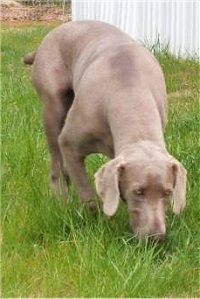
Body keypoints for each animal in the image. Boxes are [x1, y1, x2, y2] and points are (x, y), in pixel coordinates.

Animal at [24, 20, 187, 241]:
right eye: (138, 191)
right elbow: (87, 194)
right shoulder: (70, 143)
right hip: (53, 102)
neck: (129, 88)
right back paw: (62, 201)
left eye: (168, 193)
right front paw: (94, 222)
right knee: (56, 163)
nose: (156, 238)